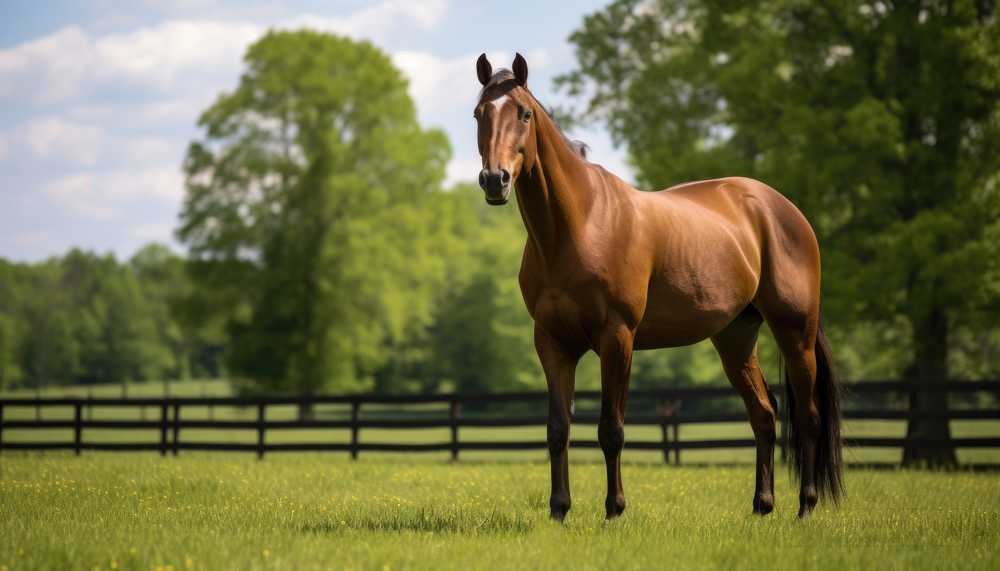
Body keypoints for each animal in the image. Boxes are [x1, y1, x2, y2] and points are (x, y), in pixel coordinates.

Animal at [472, 53, 840, 524]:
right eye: (479, 114)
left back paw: (806, 507)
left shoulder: (617, 338)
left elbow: (610, 429)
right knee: (764, 414)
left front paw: (613, 512)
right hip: (736, 339)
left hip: (796, 333)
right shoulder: (551, 342)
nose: (494, 180)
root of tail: (784, 208)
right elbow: (558, 429)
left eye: (524, 113)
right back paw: (762, 506)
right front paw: (558, 512)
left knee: (808, 415)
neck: (579, 226)